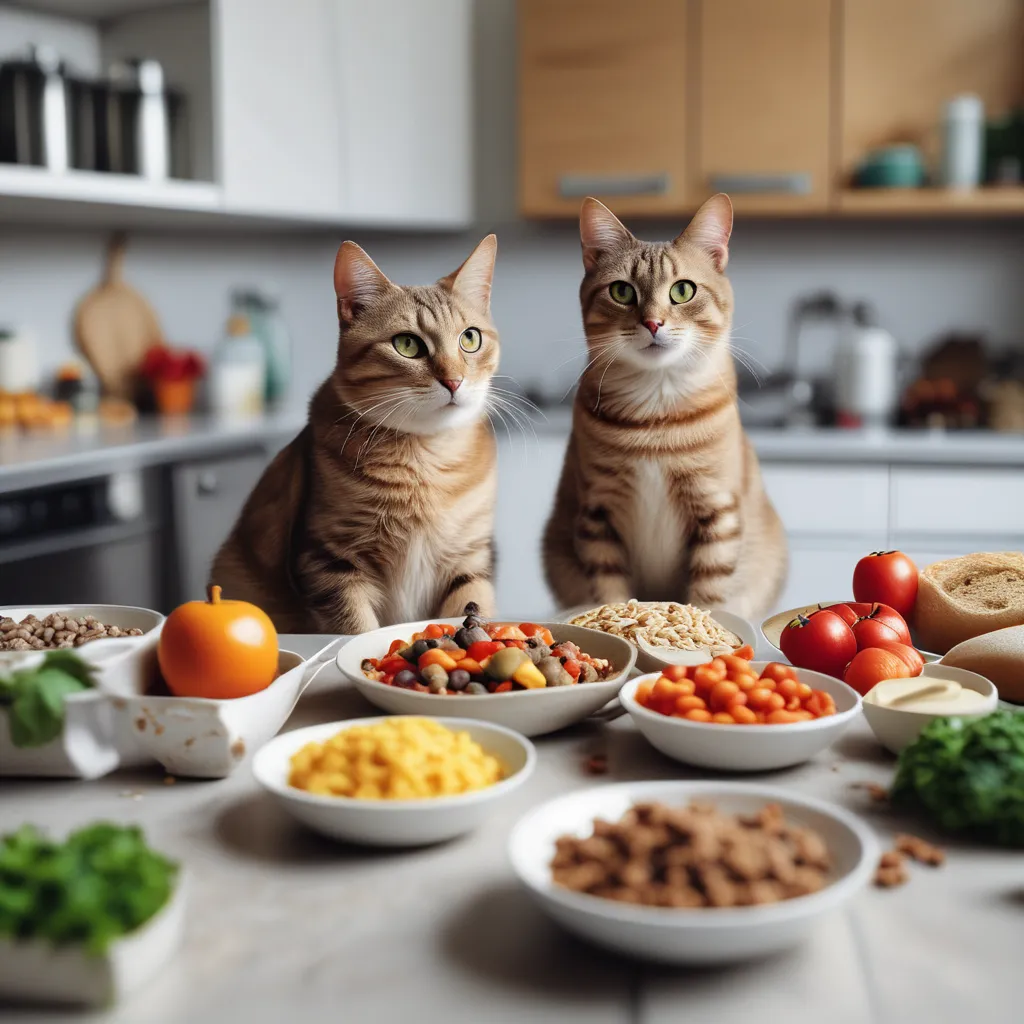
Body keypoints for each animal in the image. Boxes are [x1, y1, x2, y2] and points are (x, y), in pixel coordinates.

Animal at [214, 234, 501, 630]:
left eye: (470, 339)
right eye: (407, 345)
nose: (454, 381)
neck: (425, 463)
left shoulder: (470, 561)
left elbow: (472, 608)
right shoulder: (329, 561)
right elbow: (356, 628)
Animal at [540, 195, 786, 618]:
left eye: (682, 290)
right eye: (622, 292)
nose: (653, 323)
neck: (655, 415)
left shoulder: (717, 512)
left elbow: (707, 594)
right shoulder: (597, 516)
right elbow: (609, 590)